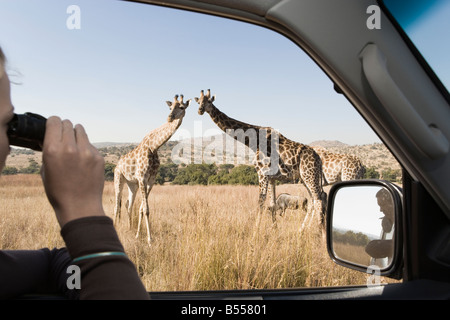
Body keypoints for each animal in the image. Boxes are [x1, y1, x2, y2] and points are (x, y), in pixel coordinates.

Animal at [114, 94, 190, 244]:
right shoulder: (142, 178)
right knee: (116, 205)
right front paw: (149, 239)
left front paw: (138, 235)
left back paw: (130, 228)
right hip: (118, 179)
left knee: (128, 204)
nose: (170, 117)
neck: (154, 146)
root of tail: (117, 164)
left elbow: (142, 208)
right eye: (170, 107)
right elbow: (146, 209)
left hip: (132, 184)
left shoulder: (150, 180)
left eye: (181, 107)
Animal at [195, 89, 326, 230]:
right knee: (315, 199)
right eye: (199, 101)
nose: (200, 110)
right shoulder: (272, 178)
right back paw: (303, 230)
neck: (254, 141)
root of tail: (318, 159)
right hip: (305, 178)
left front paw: (255, 232)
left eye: (209, 101)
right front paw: (274, 230)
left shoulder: (262, 173)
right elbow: (272, 204)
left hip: (309, 176)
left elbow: (260, 204)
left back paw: (318, 230)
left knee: (318, 199)